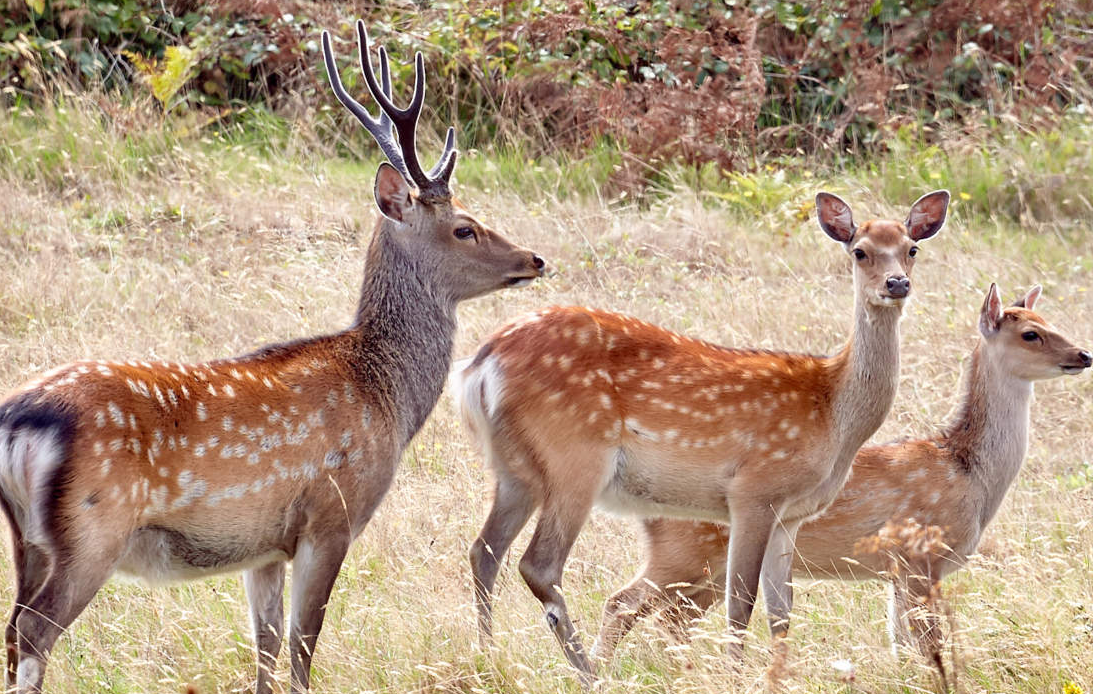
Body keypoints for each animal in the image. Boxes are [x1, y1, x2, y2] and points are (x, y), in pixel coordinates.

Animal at [0, 21, 544, 694]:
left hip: (27, 540)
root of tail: (18, 420)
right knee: (33, 631)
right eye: (465, 227)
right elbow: (304, 646)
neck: (384, 396)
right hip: (91, 530)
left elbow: (265, 647)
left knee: (11, 627)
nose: (534, 259)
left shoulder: (261, 546)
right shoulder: (330, 516)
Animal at [452, 190, 948, 686]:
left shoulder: (792, 515)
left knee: (484, 551)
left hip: (514, 469)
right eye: (860, 251)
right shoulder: (754, 491)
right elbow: (741, 602)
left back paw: (488, 657)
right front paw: (736, 678)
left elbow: (782, 611)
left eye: (912, 249)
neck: (833, 412)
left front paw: (778, 680)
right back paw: (590, 675)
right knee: (539, 564)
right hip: (574, 457)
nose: (897, 284)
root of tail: (479, 366)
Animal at [594, 284, 1088, 668]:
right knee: (624, 604)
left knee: (674, 619)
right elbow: (928, 647)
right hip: (682, 552)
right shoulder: (920, 560)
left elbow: (901, 647)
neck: (968, 473)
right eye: (1030, 333)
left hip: (704, 570)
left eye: (1049, 320)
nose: (1083, 354)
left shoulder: (898, 573)